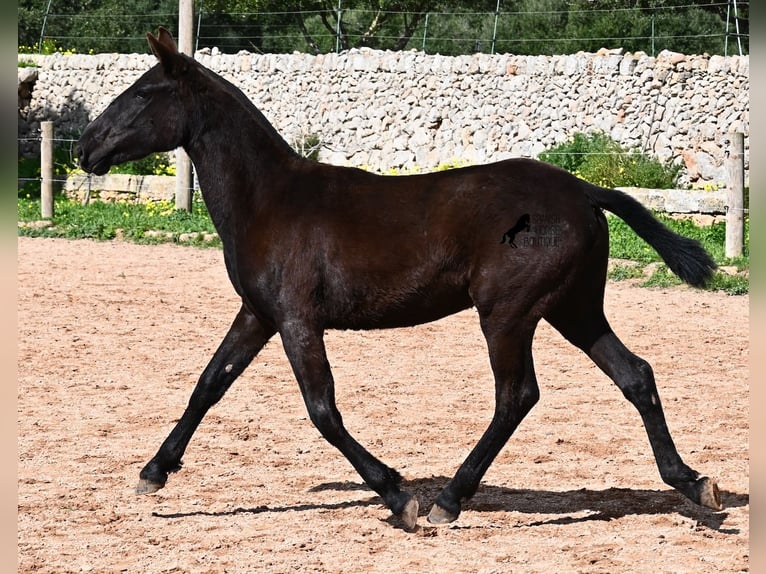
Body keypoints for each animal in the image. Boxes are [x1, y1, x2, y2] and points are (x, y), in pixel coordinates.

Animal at [75, 27, 724, 532]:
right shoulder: (259, 314)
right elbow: (209, 384)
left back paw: (449, 500)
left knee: (517, 396)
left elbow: (322, 409)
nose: (85, 148)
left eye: (142, 93)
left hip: (509, 313)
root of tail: (585, 192)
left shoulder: (297, 319)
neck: (269, 200)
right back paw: (694, 483)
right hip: (574, 308)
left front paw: (397, 495)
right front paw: (154, 472)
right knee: (634, 375)